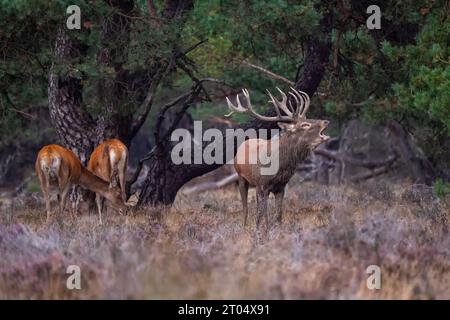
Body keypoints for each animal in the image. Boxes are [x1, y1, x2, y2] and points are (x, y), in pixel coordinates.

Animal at [227, 87, 328, 228]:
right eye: (305, 125)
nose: (326, 121)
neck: (279, 167)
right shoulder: (263, 185)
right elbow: (264, 214)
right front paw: (264, 230)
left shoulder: (281, 187)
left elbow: (278, 215)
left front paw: (277, 230)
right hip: (241, 176)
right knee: (246, 207)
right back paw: (245, 226)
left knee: (257, 207)